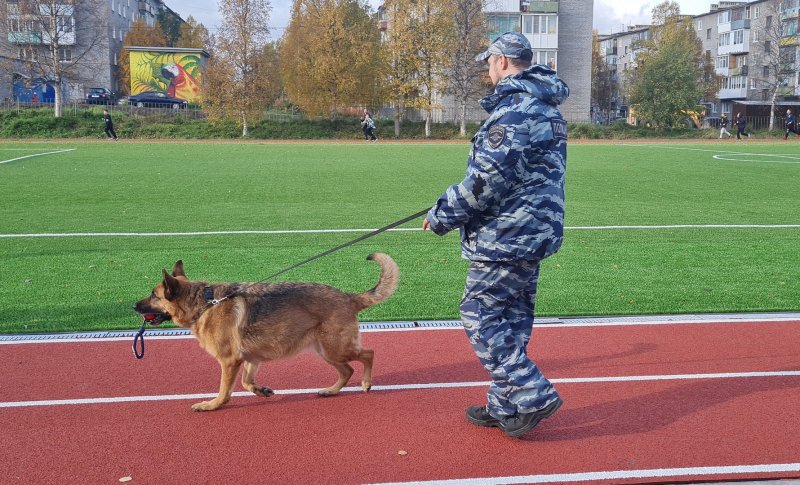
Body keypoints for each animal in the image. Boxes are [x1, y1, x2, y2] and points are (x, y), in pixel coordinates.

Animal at [138, 251, 404, 410]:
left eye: (153, 295)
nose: (133, 306)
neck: (205, 302)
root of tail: (349, 297)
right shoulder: (250, 358)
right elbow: (246, 382)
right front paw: (260, 390)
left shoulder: (229, 361)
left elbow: (225, 390)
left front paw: (212, 405)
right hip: (326, 351)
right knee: (348, 370)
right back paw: (331, 391)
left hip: (335, 348)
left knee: (368, 354)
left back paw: (366, 383)